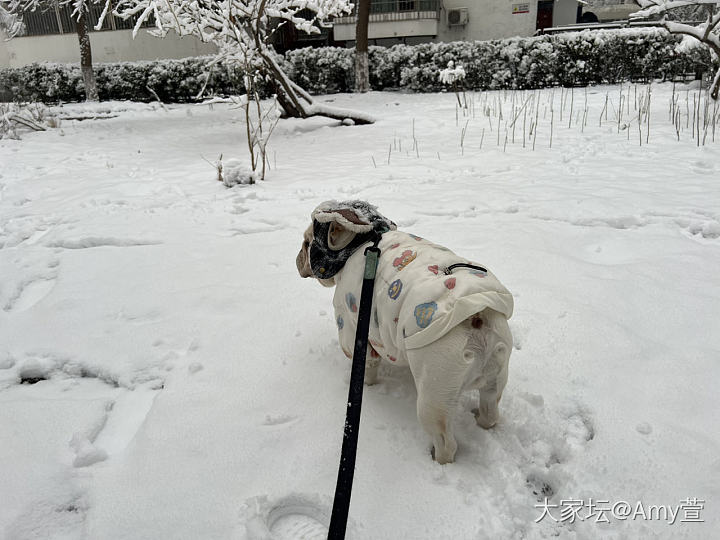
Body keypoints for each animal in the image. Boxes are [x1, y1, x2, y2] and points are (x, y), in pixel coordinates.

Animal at [296, 200, 516, 462]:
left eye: (307, 242)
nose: (298, 258)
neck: (362, 242)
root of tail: (477, 320)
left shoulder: (352, 327)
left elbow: (365, 363)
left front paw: (366, 385)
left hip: (434, 395)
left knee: (446, 442)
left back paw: (436, 458)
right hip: (496, 376)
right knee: (491, 411)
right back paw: (481, 419)